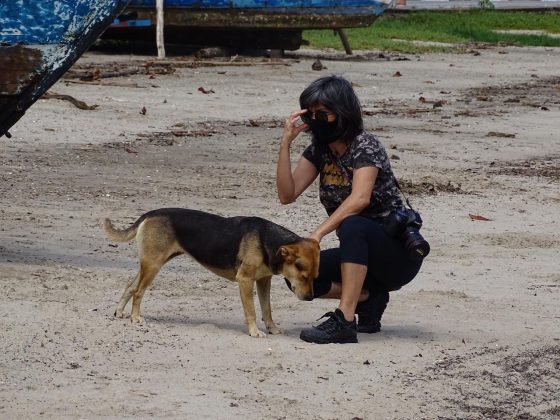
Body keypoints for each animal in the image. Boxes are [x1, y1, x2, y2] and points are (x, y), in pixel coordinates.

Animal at [101, 208, 320, 338]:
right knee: (138, 292)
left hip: (150, 264)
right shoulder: (245, 281)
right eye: (303, 277)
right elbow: (252, 311)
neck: (268, 240)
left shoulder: (264, 281)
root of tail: (150, 213)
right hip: (153, 265)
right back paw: (135, 317)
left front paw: (272, 328)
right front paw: (254, 331)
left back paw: (120, 312)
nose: (310, 298)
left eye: (315, 277)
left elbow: (267, 309)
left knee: (130, 286)